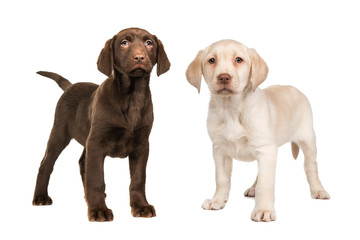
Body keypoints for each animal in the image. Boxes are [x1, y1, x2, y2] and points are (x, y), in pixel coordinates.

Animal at [32, 27, 170, 221]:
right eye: (124, 43)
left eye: (149, 43)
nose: (139, 57)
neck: (132, 96)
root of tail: (70, 86)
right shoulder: (97, 142)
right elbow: (97, 178)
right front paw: (98, 210)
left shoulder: (142, 145)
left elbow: (138, 179)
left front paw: (141, 206)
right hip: (60, 133)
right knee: (46, 164)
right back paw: (40, 197)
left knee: (82, 162)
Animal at [187, 39, 330, 221]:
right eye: (211, 60)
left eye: (239, 60)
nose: (224, 77)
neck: (230, 109)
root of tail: (294, 88)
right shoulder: (220, 150)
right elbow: (221, 179)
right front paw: (217, 200)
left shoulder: (266, 149)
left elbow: (265, 183)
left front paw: (263, 210)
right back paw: (253, 188)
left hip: (307, 139)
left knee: (311, 166)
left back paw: (318, 190)